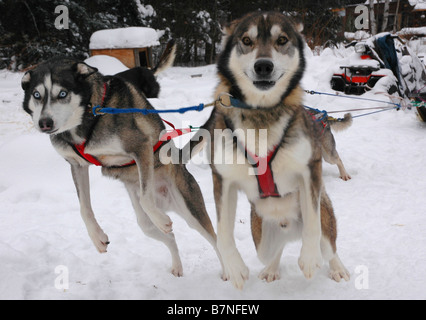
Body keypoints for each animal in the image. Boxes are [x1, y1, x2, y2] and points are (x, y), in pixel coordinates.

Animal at [21, 56, 223, 276]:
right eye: (37, 95)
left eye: (62, 93)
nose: (45, 123)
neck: (90, 115)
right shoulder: (77, 165)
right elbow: (84, 208)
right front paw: (97, 237)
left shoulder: (140, 148)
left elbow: (145, 197)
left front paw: (161, 218)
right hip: (145, 224)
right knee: (168, 236)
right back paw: (177, 265)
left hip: (191, 210)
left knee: (216, 240)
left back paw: (230, 271)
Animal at [190, 12, 350, 288]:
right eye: (246, 40)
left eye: (282, 40)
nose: (263, 66)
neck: (261, 115)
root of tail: (289, 228)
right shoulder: (223, 179)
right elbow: (222, 232)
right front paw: (234, 268)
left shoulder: (310, 170)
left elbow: (313, 225)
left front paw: (309, 257)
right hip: (261, 239)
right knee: (274, 251)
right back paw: (272, 268)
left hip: (326, 216)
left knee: (329, 247)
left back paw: (336, 266)